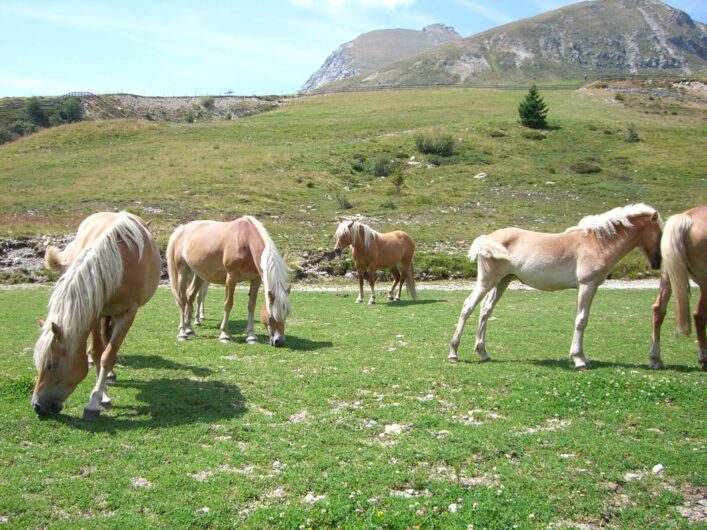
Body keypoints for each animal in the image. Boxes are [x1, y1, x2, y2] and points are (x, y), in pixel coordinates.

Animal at [32, 210, 162, 416]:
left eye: (51, 364)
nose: (37, 405)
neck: (119, 262)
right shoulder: (93, 312)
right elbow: (96, 352)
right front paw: (103, 395)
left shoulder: (127, 314)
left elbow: (107, 355)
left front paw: (95, 400)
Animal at [167, 216, 292, 344]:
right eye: (271, 315)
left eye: (286, 314)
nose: (279, 341)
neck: (245, 240)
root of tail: (181, 230)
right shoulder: (232, 278)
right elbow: (228, 304)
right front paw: (224, 335)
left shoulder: (255, 280)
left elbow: (251, 306)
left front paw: (251, 336)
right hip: (183, 272)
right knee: (183, 299)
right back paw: (182, 333)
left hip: (200, 275)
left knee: (190, 296)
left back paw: (189, 330)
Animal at [448, 202, 664, 368]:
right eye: (660, 234)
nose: (658, 263)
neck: (597, 242)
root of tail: (487, 238)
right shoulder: (587, 285)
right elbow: (581, 320)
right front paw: (579, 359)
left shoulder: (591, 287)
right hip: (487, 281)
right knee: (468, 307)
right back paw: (453, 352)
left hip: (502, 282)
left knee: (485, 310)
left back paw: (483, 352)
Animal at [652, 204, 707, 370]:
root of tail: (687, 217)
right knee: (699, 315)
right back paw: (704, 358)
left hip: (668, 276)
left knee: (658, 309)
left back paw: (655, 358)